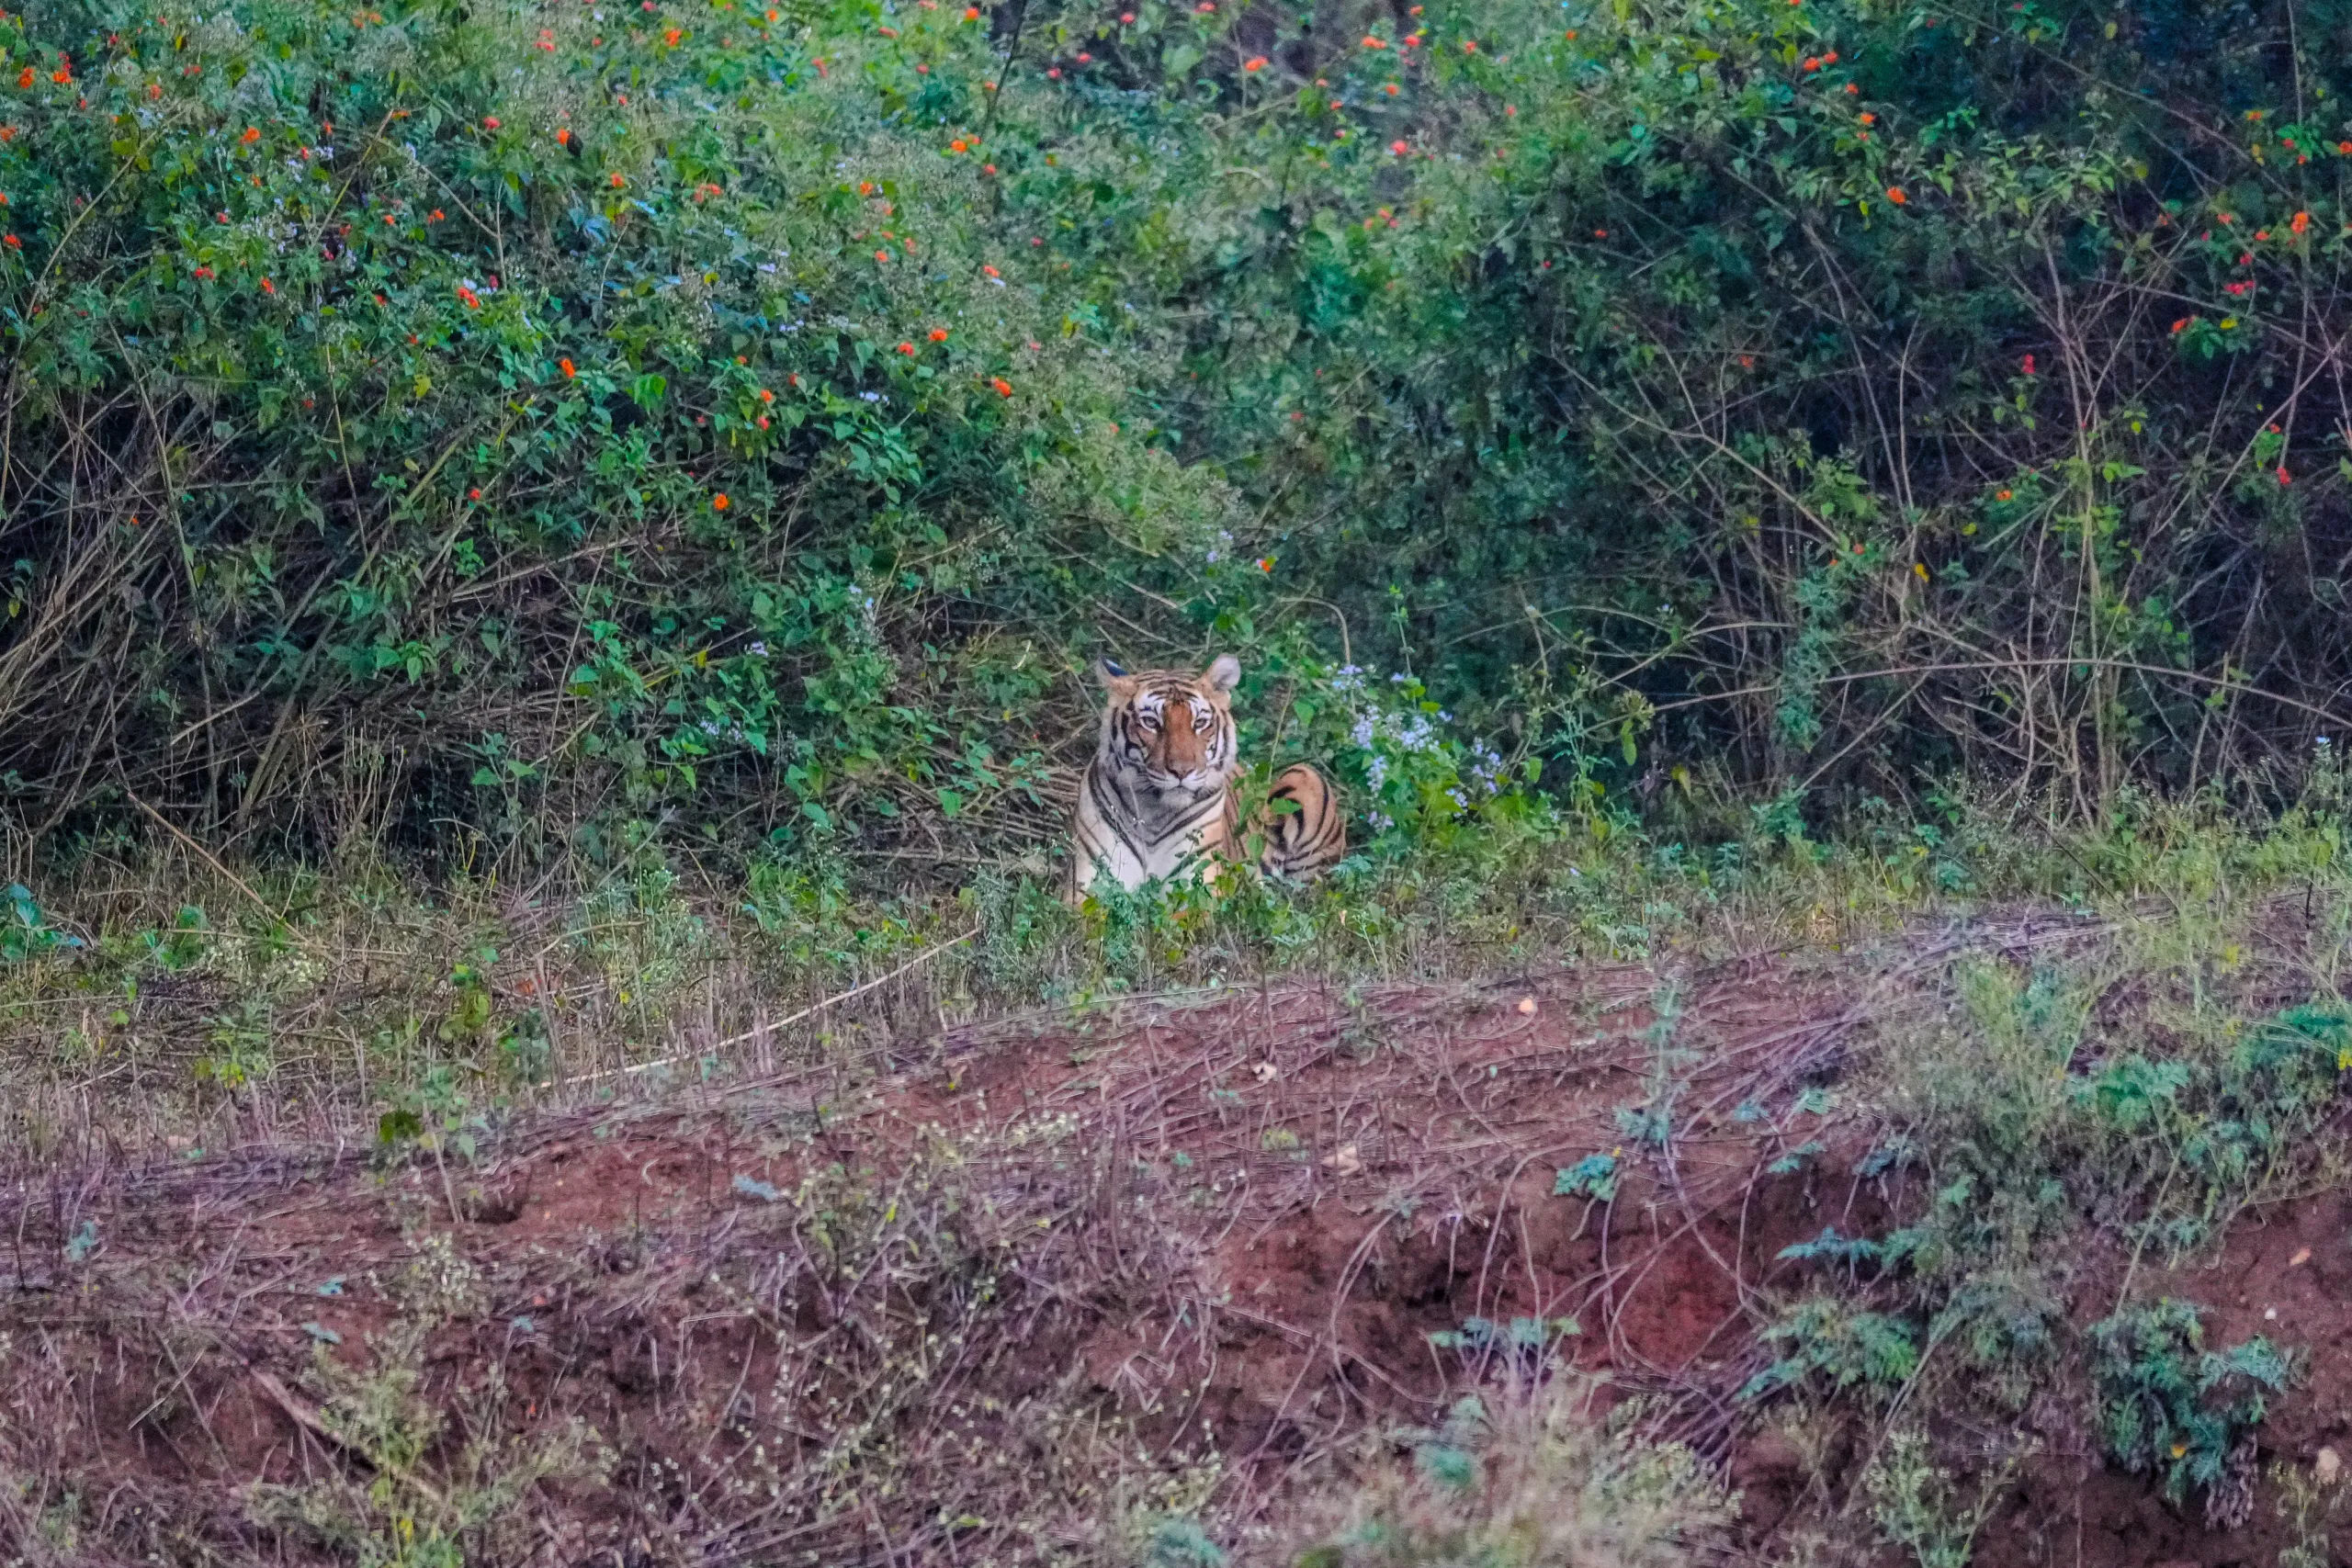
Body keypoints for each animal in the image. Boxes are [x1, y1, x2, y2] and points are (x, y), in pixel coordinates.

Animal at [1066, 654, 1347, 903]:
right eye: (1150, 722)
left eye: (1200, 723)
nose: (1182, 771)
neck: (1153, 813)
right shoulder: (1089, 888)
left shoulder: (1198, 890)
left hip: (1305, 775)